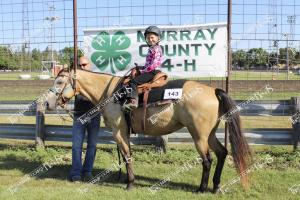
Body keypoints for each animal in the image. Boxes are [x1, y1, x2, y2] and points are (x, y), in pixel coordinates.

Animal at [44, 68, 251, 193]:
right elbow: (126, 155)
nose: (47, 103)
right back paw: (215, 187)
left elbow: (127, 155)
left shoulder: (119, 131)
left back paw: (201, 189)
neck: (111, 93)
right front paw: (127, 180)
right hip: (209, 134)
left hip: (199, 135)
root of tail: (213, 90)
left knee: (207, 160)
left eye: (60, 81)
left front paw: (130, 183)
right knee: (222, 153)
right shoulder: (124, 132)